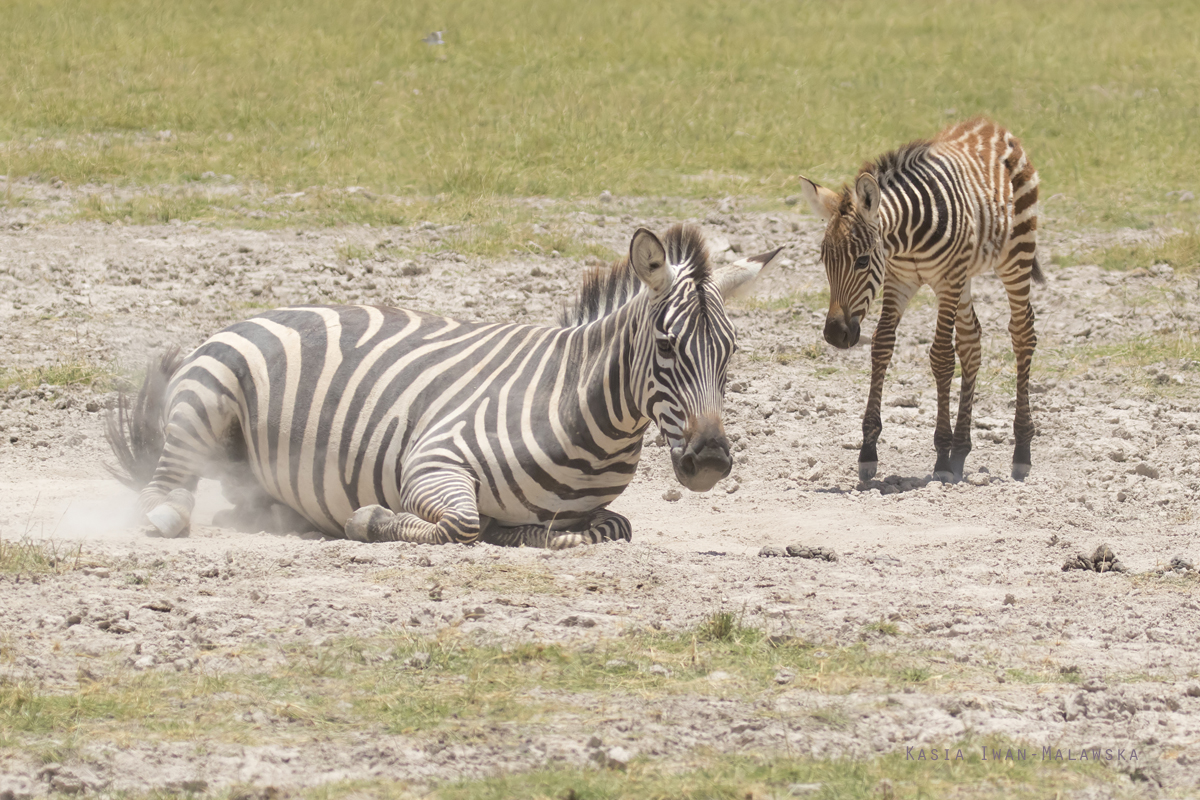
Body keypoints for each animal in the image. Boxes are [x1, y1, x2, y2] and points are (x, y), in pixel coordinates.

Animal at [103, 225, 777, 551]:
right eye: (666, 346)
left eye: (731, 353)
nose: (710, 461)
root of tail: (256, 312)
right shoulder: (432, 462)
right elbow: (460, 523)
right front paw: (371, 519)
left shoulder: (591, 512)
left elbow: (604, 528)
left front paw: (523, 532)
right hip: (206, 396)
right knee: (165, 490)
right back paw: (168, 516)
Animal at [801, 117, 1046, 482]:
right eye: (824, 261)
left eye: (862, 261)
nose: (834, 335)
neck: (906, 239)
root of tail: (993, 126)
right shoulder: (898, 280)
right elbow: (882, 347)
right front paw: (868, 450)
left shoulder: (947, 280)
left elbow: (941, 357)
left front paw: (941, 457)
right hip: (966, 276)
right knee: (971, 342)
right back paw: (961, 450)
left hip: (1015, 255)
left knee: (1022, 333)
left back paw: (1021, 451)